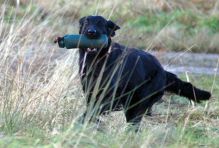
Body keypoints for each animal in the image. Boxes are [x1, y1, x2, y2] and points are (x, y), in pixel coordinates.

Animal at [72, 15, 210, 131]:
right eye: (86, 23)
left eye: (101, 24)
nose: (91, 32)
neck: (97, 61)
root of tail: (163, 72)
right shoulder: (90, 94)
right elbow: (91, 111)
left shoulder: (109, 97)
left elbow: (92, 112)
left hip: (137, 105)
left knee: (134, 124)